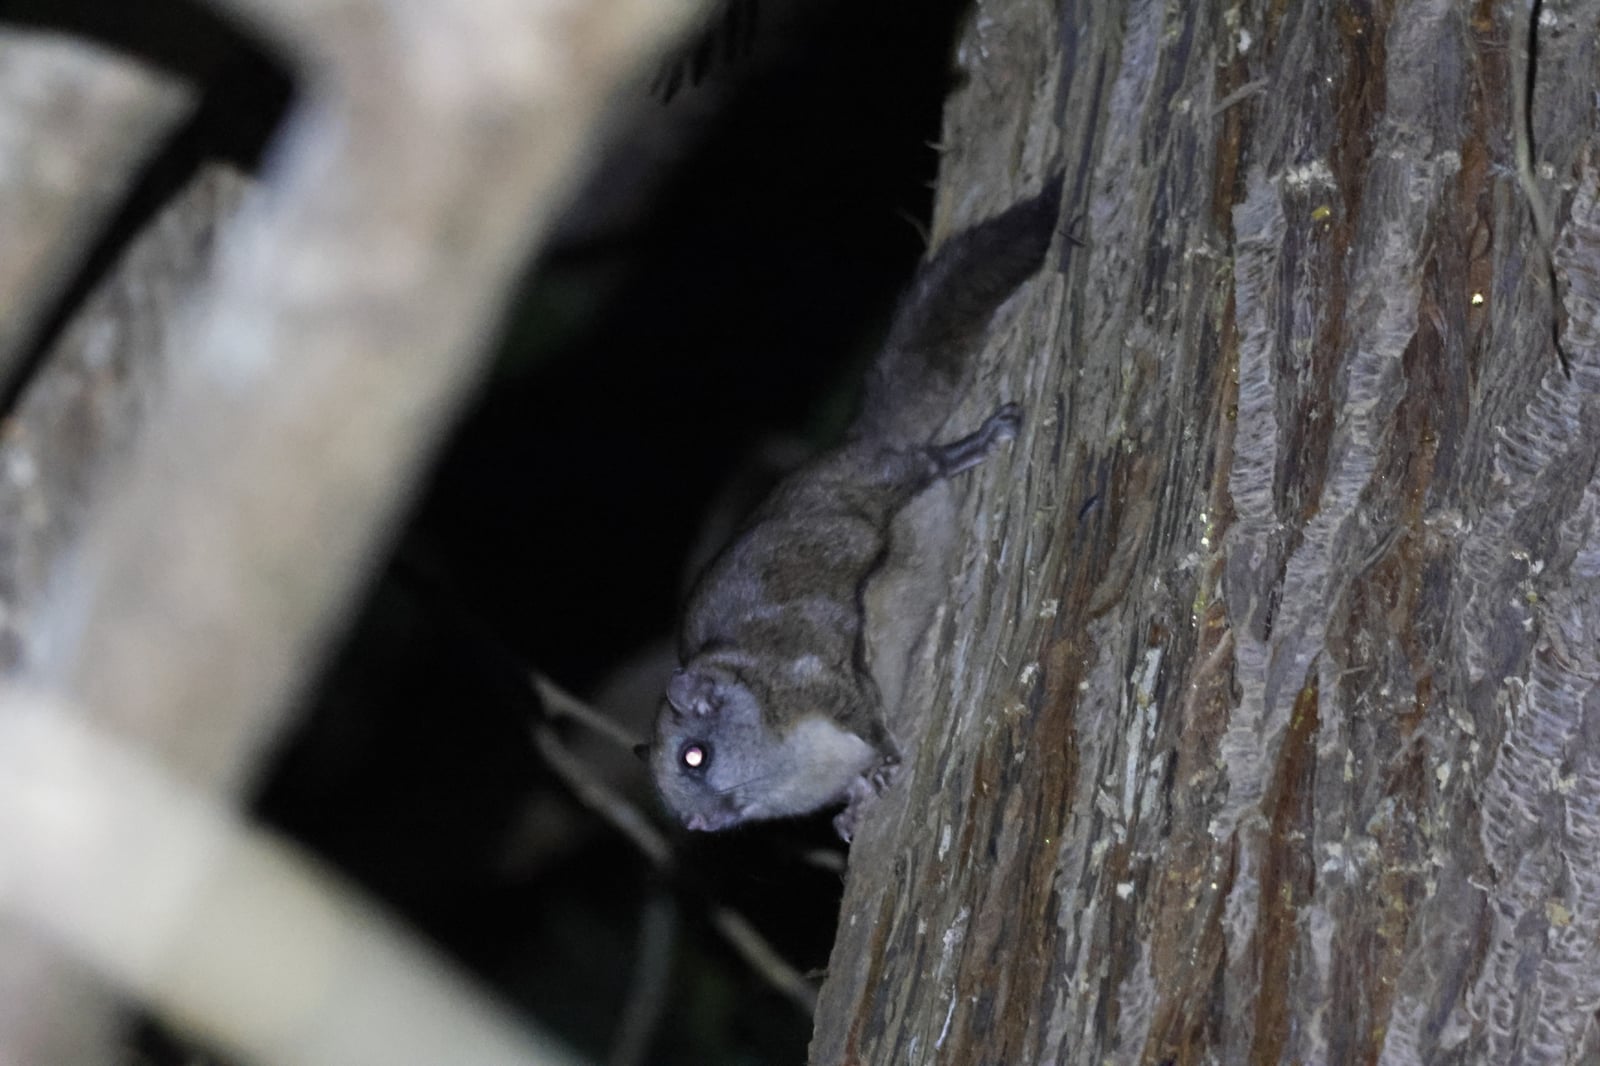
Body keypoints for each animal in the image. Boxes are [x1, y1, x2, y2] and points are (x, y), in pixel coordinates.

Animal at [647, 173, 1062, 839]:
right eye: (668, 797)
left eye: (694, 755)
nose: (698, 825)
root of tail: (857, 441)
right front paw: (856, 805)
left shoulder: (820, 674)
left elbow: (867, 715)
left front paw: (888, 760)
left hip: (882, 479)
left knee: (921, 463)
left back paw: (970, 446)